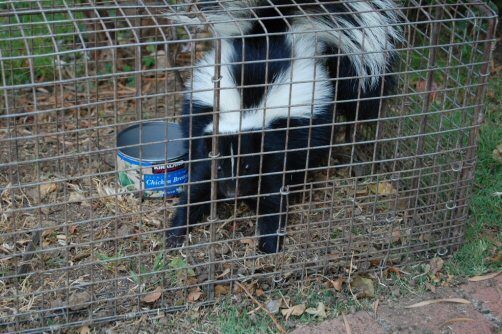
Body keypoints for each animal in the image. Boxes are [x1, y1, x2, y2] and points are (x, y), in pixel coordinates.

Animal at [167, 0, 402, 252]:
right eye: (220, 168)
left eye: (247, 166)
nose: (231, 192)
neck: (244, 112)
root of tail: (274, 27)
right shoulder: (209, 136)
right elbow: (198, 186)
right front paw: (176, 232)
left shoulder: (274, 145)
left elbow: (273, 194)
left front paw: (269, 242)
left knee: (308, 156)